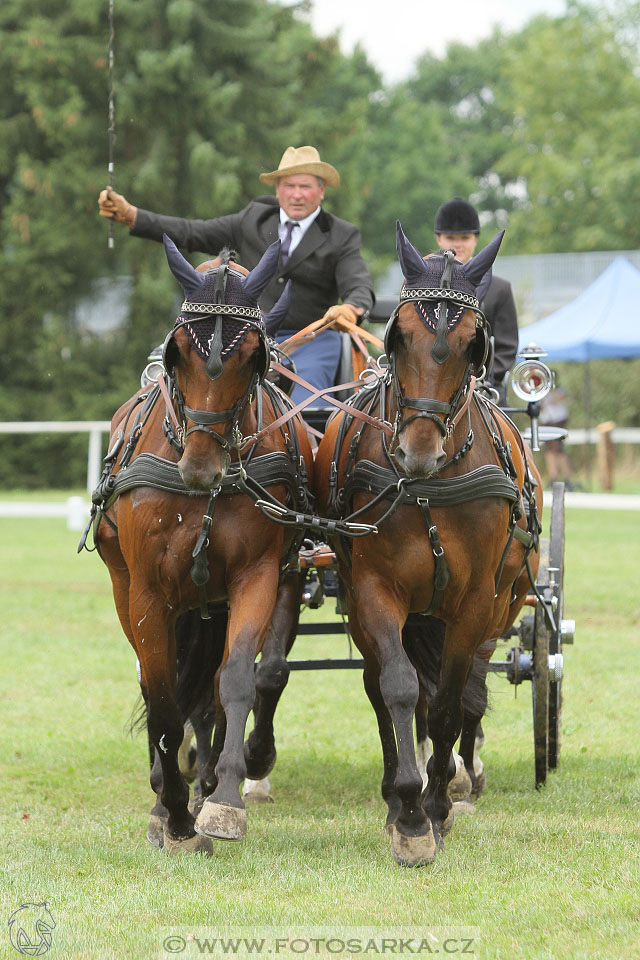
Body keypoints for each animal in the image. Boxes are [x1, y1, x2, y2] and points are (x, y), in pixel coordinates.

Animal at [87, 236, 312, 860]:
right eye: (178, 352)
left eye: (254, 358)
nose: (201, 466)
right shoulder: (147, 592)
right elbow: (162, 697)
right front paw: (175, 815)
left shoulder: (260, 574)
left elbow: (238, 679)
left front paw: (224, 802)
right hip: (130, 589)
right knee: (157, 682)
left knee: (212, 687)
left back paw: (207, 778)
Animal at [314, 225, 540, 872]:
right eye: (399, 336)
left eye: (472, 344)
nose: (417, 453)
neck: (427, 488)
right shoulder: (374, 589)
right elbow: (398, 687)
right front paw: (410, 815)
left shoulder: (474, 603)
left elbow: (446, 702)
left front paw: (437, 806)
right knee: (386, 685)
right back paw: (401, 792)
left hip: (502, 604)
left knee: (469, 690)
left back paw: (462, 775)